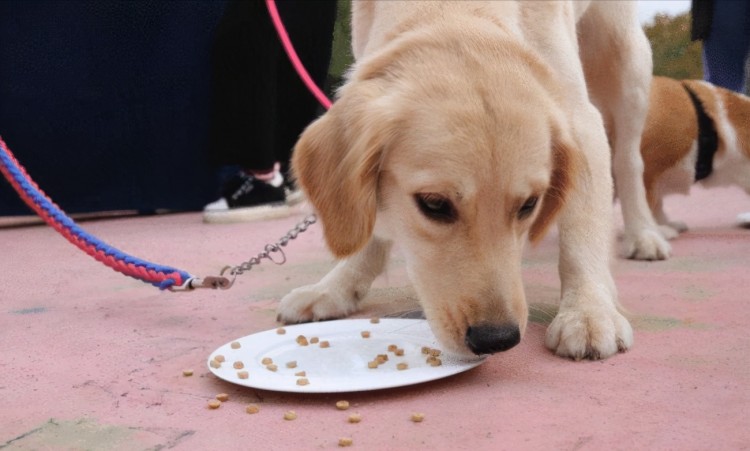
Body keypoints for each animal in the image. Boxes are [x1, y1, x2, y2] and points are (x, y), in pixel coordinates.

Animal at [280, 0, 660, 360]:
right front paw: (336, 288)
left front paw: (588, 310)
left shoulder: (580, 119)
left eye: (529, 204)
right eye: (434, 204)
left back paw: (644, 234)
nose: (497, 339)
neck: (449, 11)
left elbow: (583, 229)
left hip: (625, 59)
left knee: (629, 161)